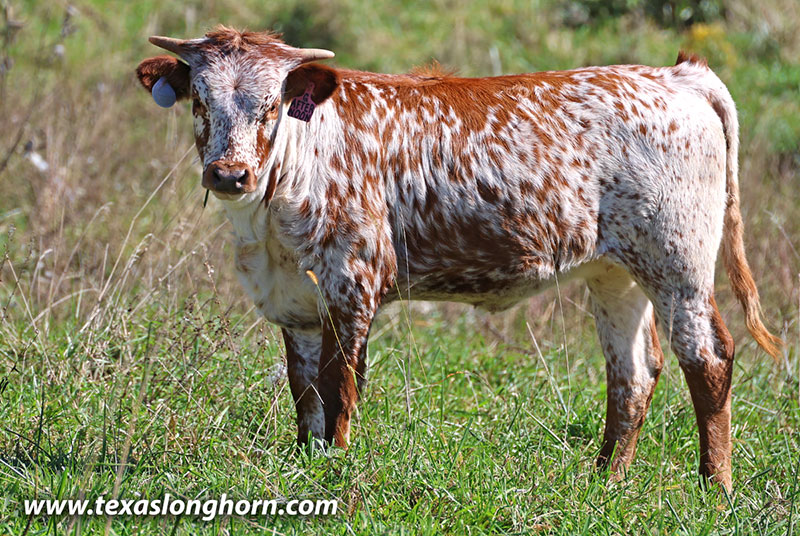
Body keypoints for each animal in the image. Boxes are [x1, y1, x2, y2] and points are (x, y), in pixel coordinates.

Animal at [136, 26, 781, 490]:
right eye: (199, 100)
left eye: (272, 105)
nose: (228, 174)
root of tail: (676, 74)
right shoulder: (295, 302)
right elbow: (306, 393)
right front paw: (308, 463)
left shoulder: (352, 283)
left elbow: (339, 385)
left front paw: (335, 469)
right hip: (615, 272)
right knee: (634, 372)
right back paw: (603, 482)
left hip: (677, 263)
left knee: (708, 357)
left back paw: (714, 488)